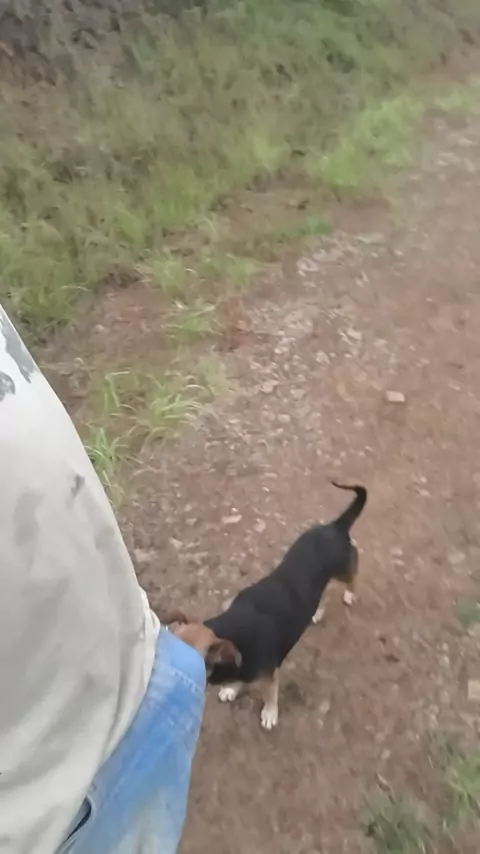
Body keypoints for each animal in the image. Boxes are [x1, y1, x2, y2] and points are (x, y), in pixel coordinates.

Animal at [201, 481, 367, 730]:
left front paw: (270, 713)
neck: (235, 631)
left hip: (343, 570)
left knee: (354, 573)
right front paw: (231, 689)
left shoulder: (268, 676)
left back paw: (349, 594)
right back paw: (317, 613)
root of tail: (335, 527)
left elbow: (269, 696)